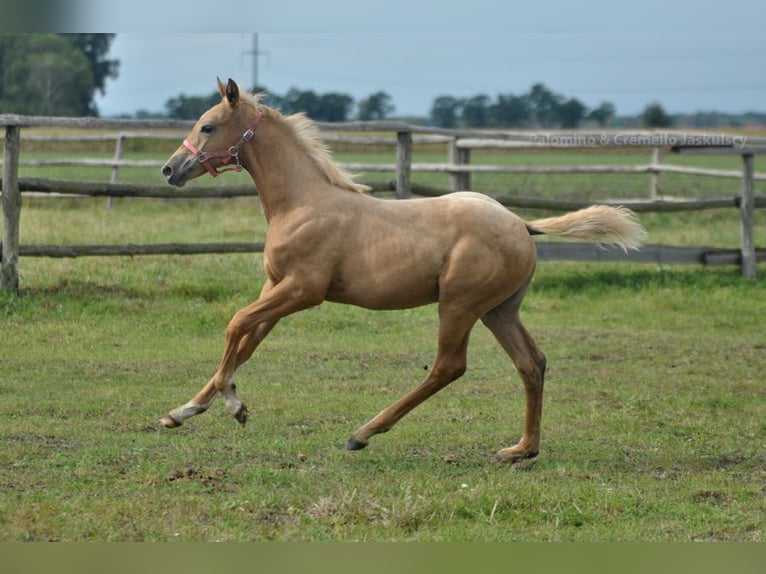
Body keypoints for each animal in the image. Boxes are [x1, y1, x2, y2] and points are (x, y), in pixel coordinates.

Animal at [162, 79, 648, 468]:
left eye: (208, 126)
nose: (170, 169)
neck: (302, 203)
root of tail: (522, 225)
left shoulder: (303, 290)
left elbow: (236, 324)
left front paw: (233, 404)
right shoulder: (277, 287)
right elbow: (246, 342)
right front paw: (182, 412)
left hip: (460, 304)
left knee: (449, 366)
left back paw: (363, 433)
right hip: (500, 310)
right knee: (532, 363)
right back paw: (521, 450)